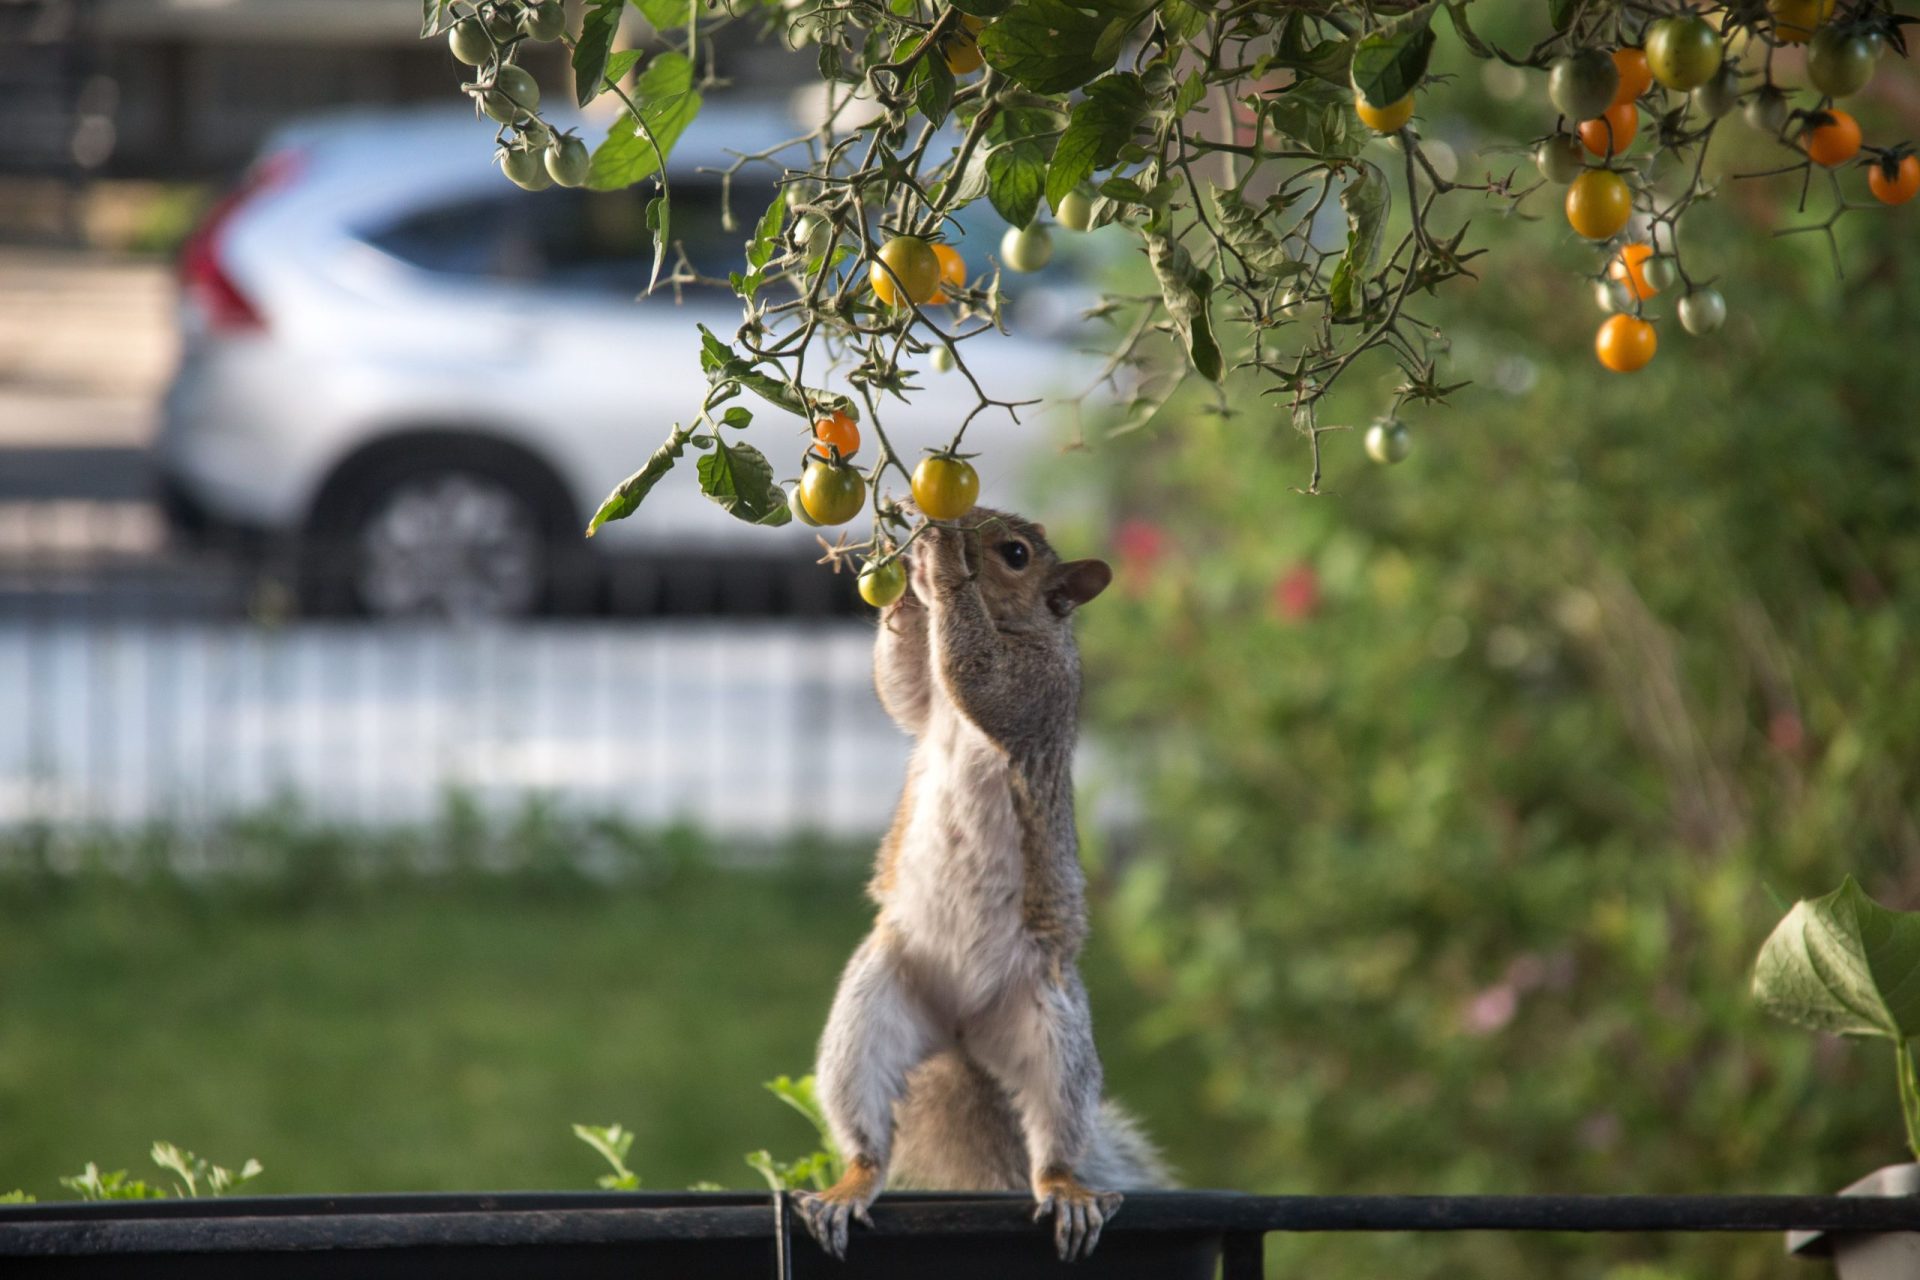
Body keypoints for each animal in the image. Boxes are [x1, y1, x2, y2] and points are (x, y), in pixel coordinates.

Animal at [791, 506, 1159, 1258]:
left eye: (1015, 554)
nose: (947, 520)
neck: (1019, 623)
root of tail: (961, 1033)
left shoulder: (1039, 687)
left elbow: (981, 677)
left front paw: (937, 561)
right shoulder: (925, 702)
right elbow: (900, 686)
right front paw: (904, 578)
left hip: (1054, 1034)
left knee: (1053, 1141)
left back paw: (1067, 1192)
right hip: (871, 1012)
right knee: (866, 1132)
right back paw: (848, 1189)